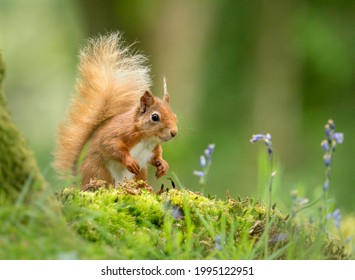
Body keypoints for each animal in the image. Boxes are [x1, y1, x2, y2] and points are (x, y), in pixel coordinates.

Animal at [54, 33, 178, 190]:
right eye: (155, 117)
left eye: (175, 116)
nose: (174, 133)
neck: (146, 139)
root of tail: (78, 183)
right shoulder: (117, 133)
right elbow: (112, 146)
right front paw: (129, 161)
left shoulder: (152, 151)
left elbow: (156, 157)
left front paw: (163, 165)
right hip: (98, 171)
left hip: (139, 175)